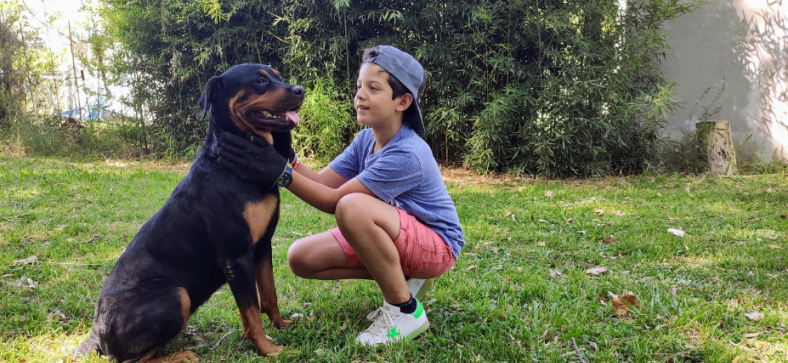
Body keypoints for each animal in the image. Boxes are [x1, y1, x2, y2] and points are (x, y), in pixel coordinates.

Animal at [76, 65, 304, 363]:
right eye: (260, 80)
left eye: (278, 76)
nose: (301, 90)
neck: (234, 166)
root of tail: (96, 336)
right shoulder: (237, 256)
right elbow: (253, 312)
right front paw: (268, 350)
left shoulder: (262, 247)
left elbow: (267, 298)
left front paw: (278, 327)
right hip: (176, 296)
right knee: (130, 360)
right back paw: (181, 355)